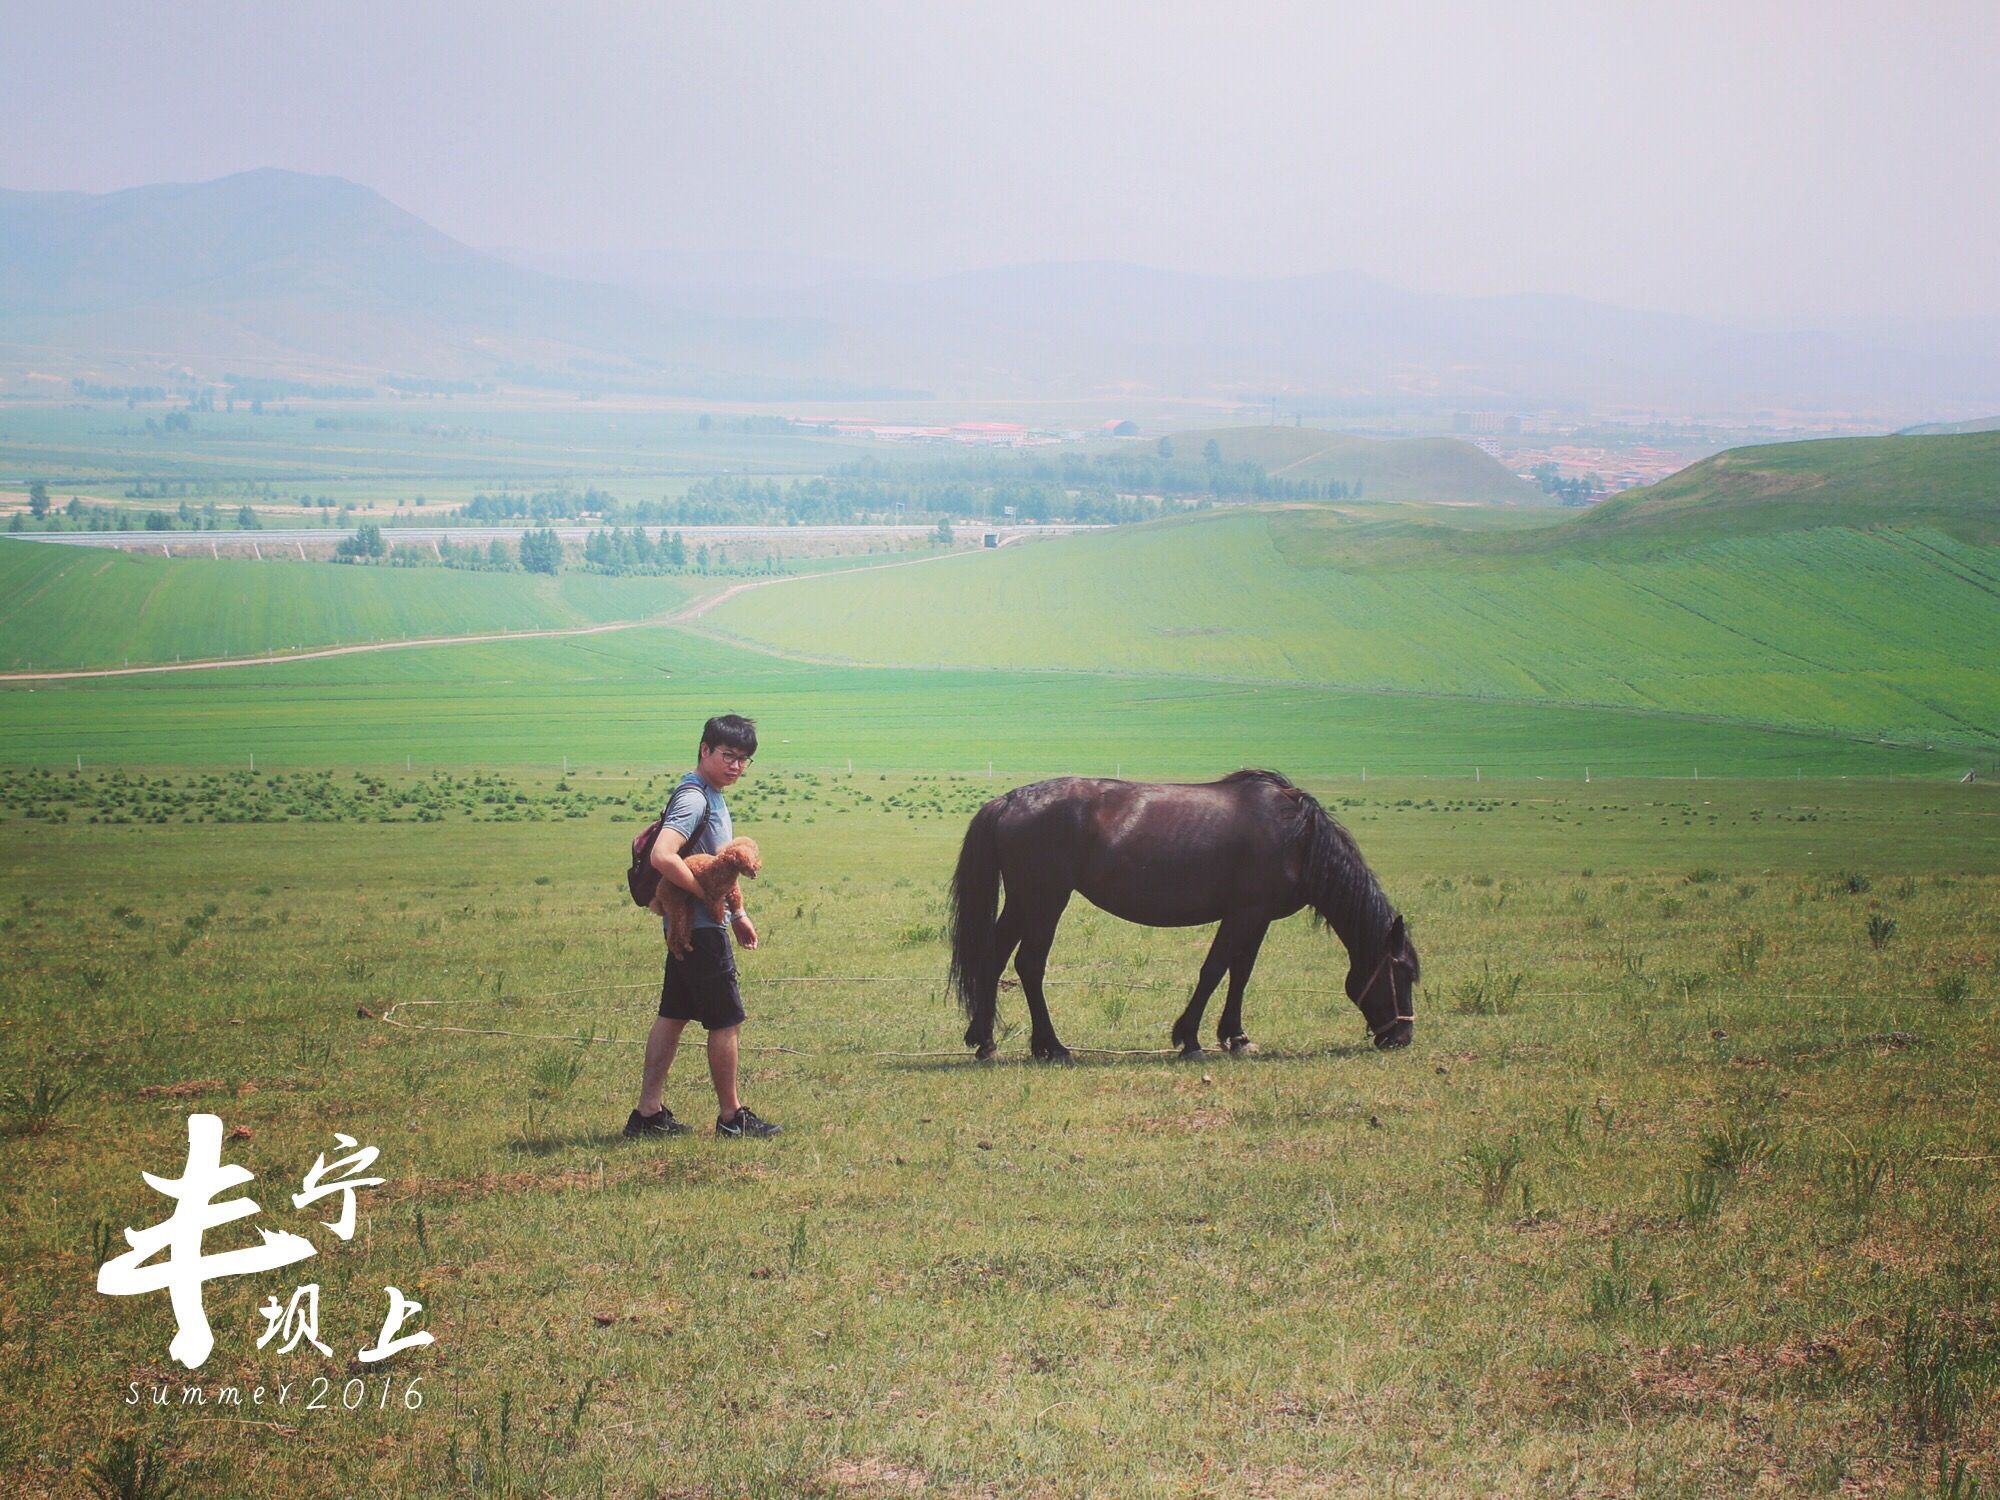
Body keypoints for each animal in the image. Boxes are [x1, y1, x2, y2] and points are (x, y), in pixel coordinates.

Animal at [944, 768, 1416, 1064]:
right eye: (1403, 972)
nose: (1401, 1037)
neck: (1297, 836)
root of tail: (1008, 801)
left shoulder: (1258, 917)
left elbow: (1241, 973)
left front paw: (1237, 1037)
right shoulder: (1243, 914)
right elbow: (1214, 970)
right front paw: (1189, 1039)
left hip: (1023, 902)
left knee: (993, 960)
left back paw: (985, 1042)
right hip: (1045, 901)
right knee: (1029, 965)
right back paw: (1052, 1046)